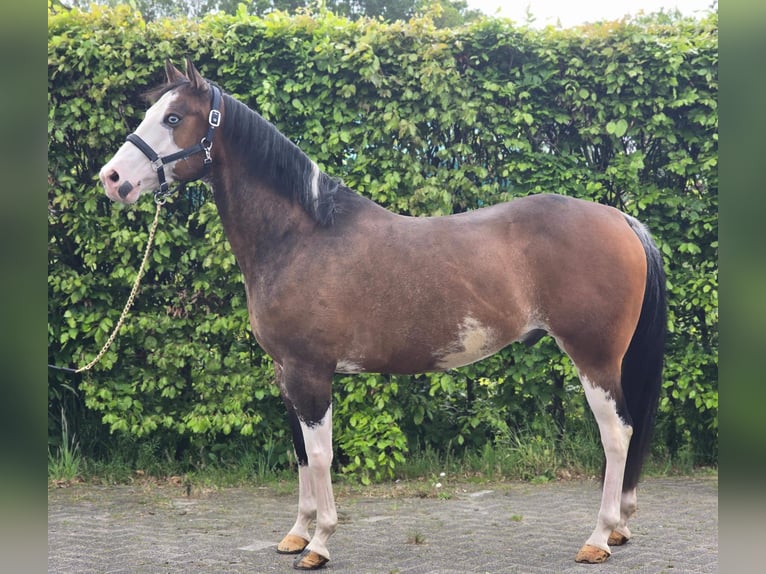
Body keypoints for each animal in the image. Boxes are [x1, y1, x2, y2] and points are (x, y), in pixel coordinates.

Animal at [99, 59, 666, 570]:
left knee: (616, 436)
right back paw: (618, 529)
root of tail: (620, 218)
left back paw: (598, 537)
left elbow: (322, 455)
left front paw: (320, 543)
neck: (302, 237)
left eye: (173, 118)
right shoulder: (287, 373)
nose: (111, 178)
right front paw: (297, 533)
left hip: (593, 358)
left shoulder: (311, 373)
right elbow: (300, 452)